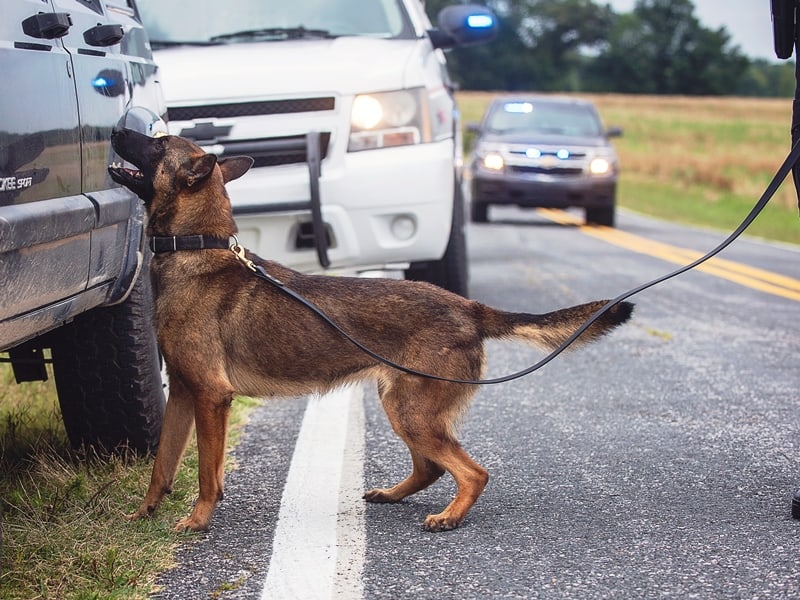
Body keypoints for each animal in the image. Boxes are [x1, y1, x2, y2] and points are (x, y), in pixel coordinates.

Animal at [108, 129, 632, 532]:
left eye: (157, 143)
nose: (114, 128)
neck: (196, 247)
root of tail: (469, 307)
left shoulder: (211, 396)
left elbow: (205, 474)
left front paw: (197, 521)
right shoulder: (182, 393)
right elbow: (162, 467)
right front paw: (142, 516)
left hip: (411, 411)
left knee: (472, 472)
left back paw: (449, 517)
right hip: (402, 404)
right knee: (431, 467)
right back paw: (395, 495)